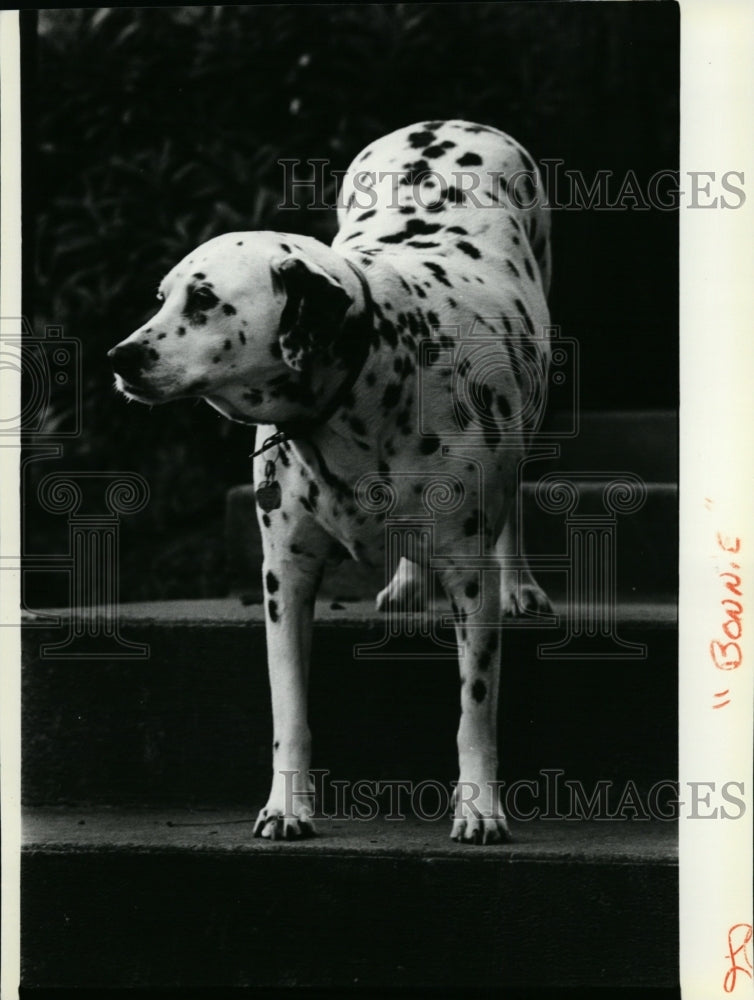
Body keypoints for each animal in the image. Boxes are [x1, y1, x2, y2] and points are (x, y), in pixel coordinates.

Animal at [107, 121, 552, 848]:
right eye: (161, 297)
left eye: (203, 299)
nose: (119, 357)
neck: (372, 377)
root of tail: (445, 124)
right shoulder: (284, 579)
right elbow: (289, 711)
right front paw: (287, 805)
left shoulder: (469, 577)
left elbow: (474, 712)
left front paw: (480, 806)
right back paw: (406, 585)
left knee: (512, 503)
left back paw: (522, 585)